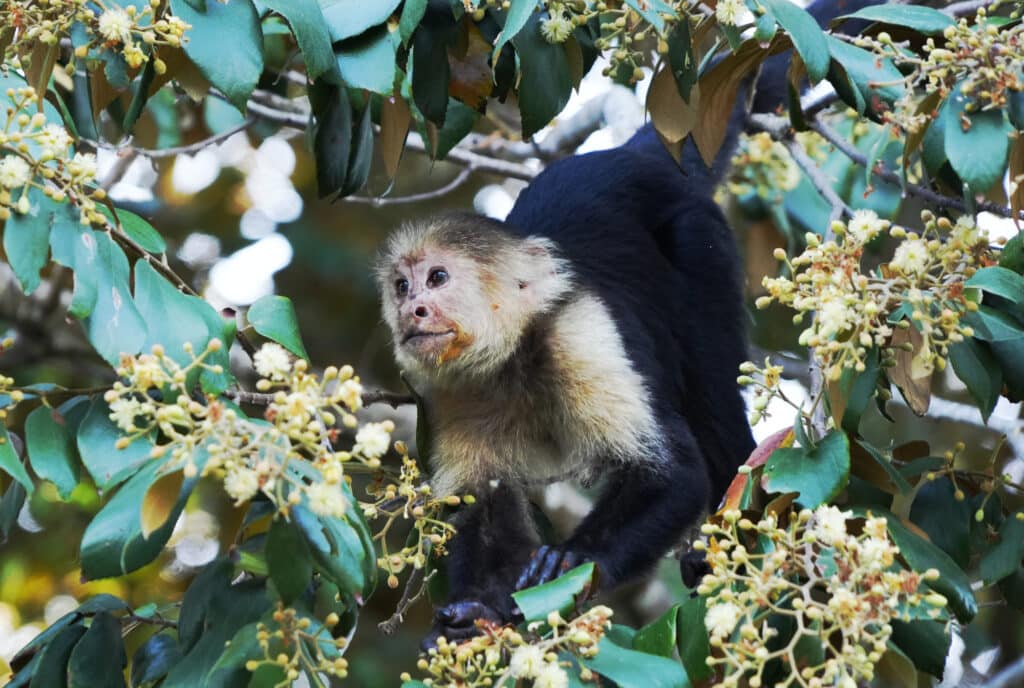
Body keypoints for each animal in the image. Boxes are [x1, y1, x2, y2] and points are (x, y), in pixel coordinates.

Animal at [375, 0, 886, 647]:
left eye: (437, 279)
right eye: (402, 286)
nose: (412, 310)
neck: (512, 354)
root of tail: (637, 154)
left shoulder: (581, 331)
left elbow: (674, 475)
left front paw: (571, 561)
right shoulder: (450, 391)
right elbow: (483, 511)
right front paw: (476, 611)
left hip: (698, 236)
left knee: (711, 386)